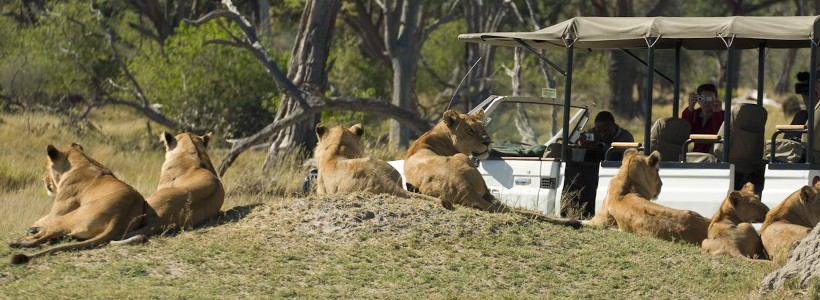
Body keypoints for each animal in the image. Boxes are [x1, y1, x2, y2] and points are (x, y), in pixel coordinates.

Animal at [8, 144, 146, 264]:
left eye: (46, 168)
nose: (43, 180)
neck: (82, 161)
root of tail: (118, 217)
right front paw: (33, 228)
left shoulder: (57, 212)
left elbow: (42, 220)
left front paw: (32, 229)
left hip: (67, 217)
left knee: (44, 236)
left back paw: (18, 242)